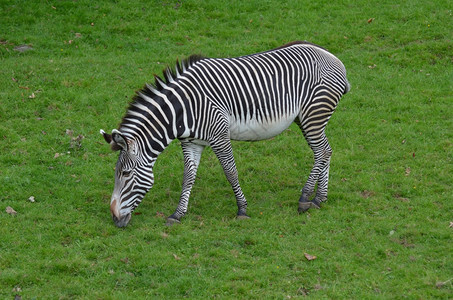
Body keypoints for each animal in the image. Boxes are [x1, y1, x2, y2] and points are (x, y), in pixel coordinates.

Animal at [101, 40, 350, 227]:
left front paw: (242, 209)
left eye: (125, 174)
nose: (114, 218)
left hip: (313, 114)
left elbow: (230, 172)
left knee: (322, 151)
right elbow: (188, 176)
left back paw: (305, 198)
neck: (182, 110)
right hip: (308, 118)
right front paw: (177, 214)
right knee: (324, 151)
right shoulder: (191, 142)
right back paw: (319, 198)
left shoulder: (219, 137)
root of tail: (332, 57)